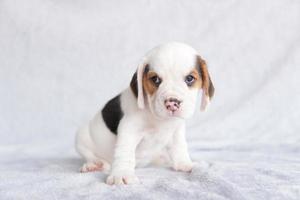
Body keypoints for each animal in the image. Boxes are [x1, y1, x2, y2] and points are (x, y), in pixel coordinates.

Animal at [76, 41, 214, 184]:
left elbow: (179, 147)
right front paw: (121, 173)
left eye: (190, 78)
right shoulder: (129, 129)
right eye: (155, 79)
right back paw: (95, 164)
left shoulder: (176, 130)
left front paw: (184, 164)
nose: (172, 103)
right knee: (90, 155)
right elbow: (124, 152)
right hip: (81, 137)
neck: (158, 118)